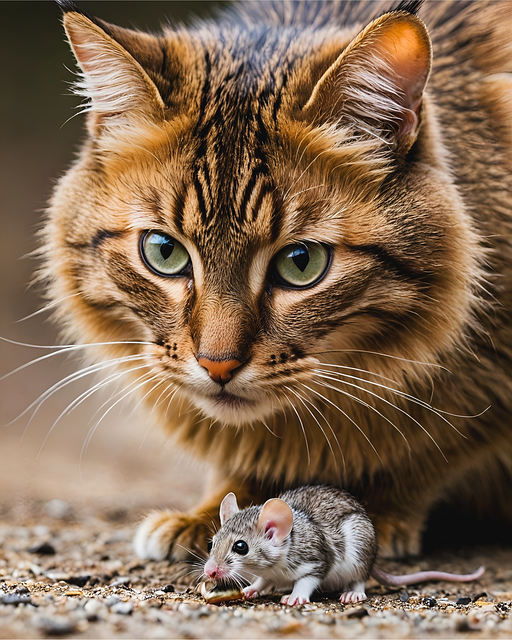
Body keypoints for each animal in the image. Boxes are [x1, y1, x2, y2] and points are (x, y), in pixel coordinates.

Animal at [44, 0, 512, 560]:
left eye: (301, 262)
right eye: (163, 252)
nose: (217, 365)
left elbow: (431, 448)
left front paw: (370, 509)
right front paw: (219, 510)